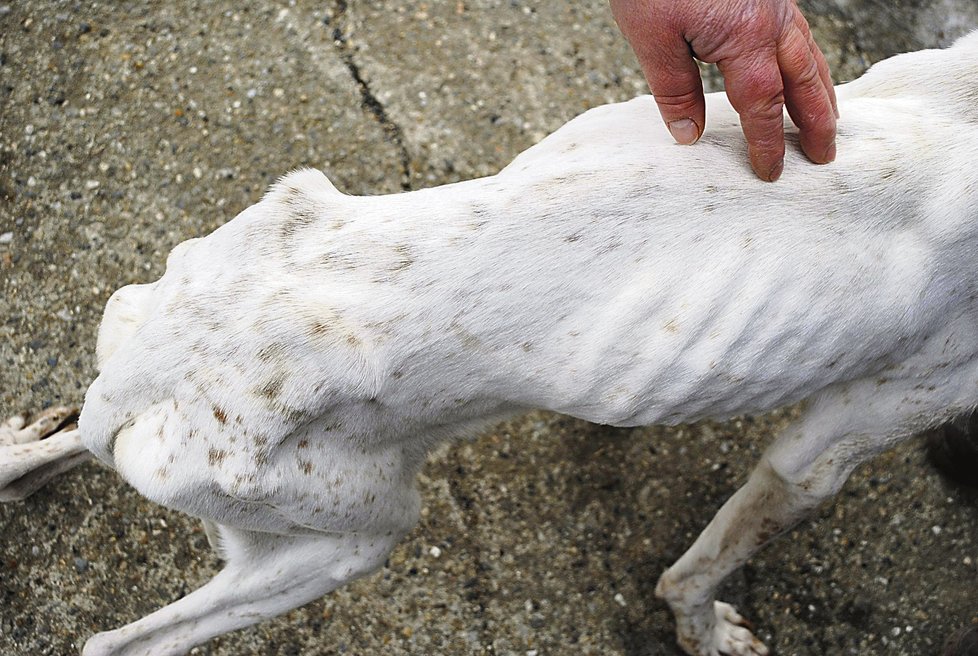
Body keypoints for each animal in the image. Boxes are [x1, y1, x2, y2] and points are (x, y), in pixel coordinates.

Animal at [1, 30, 976, 656]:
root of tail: (143, 377)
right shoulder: (830, 447)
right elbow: (701, 568)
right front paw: (704, 633)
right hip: (351, 537)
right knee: (111, 646)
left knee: (53, 461)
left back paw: (23, 452)